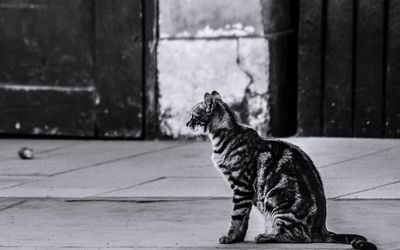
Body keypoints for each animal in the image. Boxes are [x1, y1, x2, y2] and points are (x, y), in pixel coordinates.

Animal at [186, 91, 376, 250]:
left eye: (193, 116)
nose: (187, 124)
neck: (226, 136)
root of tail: (321, 229)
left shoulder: (241, 187)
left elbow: (237, 216)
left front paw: (230, 237)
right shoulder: (246, 193)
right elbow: (244, 218)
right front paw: (238, 238)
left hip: (276, 202)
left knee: (300, 237)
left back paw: (267, 237)